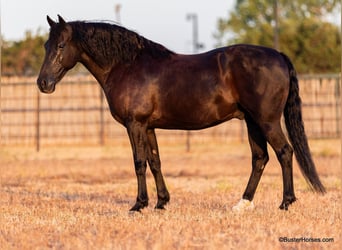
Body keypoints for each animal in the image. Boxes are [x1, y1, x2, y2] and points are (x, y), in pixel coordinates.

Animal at [37, 15, 326, 211]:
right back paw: (242, 203)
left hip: (267, 121)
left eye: (61, 45)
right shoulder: (149, 126)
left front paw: (139, 204)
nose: (43, 83)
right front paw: (161, 202)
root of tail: (278, 55)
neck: (127, 65)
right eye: (45, 46)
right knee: (260, 158)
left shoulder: (135, 124)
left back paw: (286, 202)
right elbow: (155, 162)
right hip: (253, 123)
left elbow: (139, 163)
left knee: (284, 153)